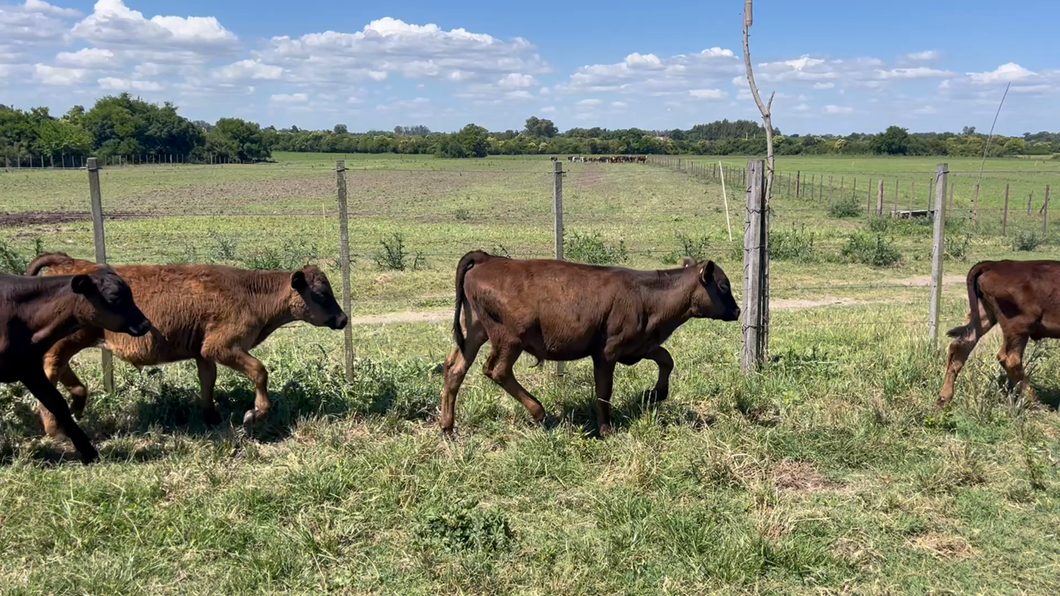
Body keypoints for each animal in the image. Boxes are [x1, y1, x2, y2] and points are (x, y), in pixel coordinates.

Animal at [438, 248, 737, 434]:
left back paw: (447, 426)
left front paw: (655, 394)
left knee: (455, 369)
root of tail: (487, 259)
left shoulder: (640, 345)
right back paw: (538, 411)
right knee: (497, 370)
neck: (647, 294)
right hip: (509, 338)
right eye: (723, 286)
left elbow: (666, 359)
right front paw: (605, 429)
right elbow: (604, 391)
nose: (737, 311)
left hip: (475, 331)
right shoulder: (607, 351)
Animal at [941, 259, 1060, 407]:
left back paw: (943, 399)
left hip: (984, 315)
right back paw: (1034, 401)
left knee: (960, 347)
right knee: (1010, 358)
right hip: (1018, 327)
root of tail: (994, 264)